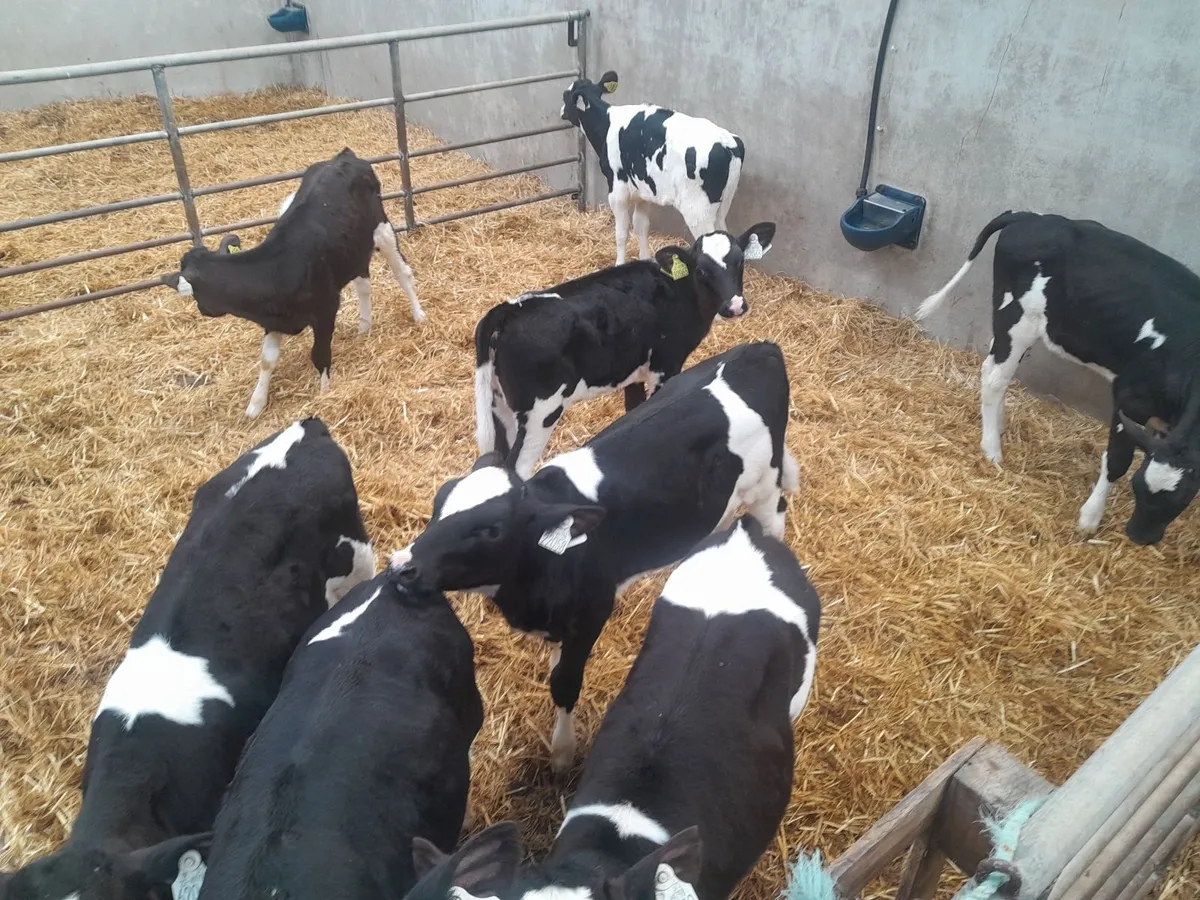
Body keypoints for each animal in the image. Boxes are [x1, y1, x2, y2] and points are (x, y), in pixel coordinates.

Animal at [166, 148, 424, 419]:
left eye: (197, 296)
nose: (202, 310)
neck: (276, 269)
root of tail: (344, 156)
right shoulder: (273, 319)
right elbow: (267, 360)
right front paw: (256, 403)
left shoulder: (326, 309)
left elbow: (319, 354)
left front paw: (324, 393)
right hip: (353, 249)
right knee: (363, 285)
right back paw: (364, 327)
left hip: (382, 230)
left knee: (403, 274)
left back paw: (418, 315)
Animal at [390, 341, 800, 773]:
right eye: (439, 502)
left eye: (491, 530)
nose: (401, 566)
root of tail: (759, 349)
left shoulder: (592, 612)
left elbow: (564, 683)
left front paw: (562, 753)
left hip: (764, 487)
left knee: (775, 517)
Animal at [474, 223, 776, 477]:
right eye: (702, 271)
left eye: (740, 262)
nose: (734, 306)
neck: (677, 290)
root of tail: (509, 309)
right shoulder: (665, 366)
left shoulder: (634, 371)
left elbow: (634, 410)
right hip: (541, 412)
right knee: (517, 468)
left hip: (500, 404)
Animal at [562, 71, 746, 266]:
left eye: (565, 96)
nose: (562, 112)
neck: (607, 124)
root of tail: (727, 142)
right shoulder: (642, 191)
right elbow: (641, 226)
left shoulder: (617, 190)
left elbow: (621, 233)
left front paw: (619, 263)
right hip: (723, 204)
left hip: (697, 210)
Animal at [917, 211, 1200, 545]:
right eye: (1139, 487)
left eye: (1182, 499)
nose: (1139, 536)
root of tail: (1032, 216)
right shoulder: (1130, 398)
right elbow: (1117, 461)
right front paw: (1090, 518)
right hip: (1017, 316)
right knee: (995, 378)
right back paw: (992, 450)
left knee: (991, 366)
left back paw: (997, 426)